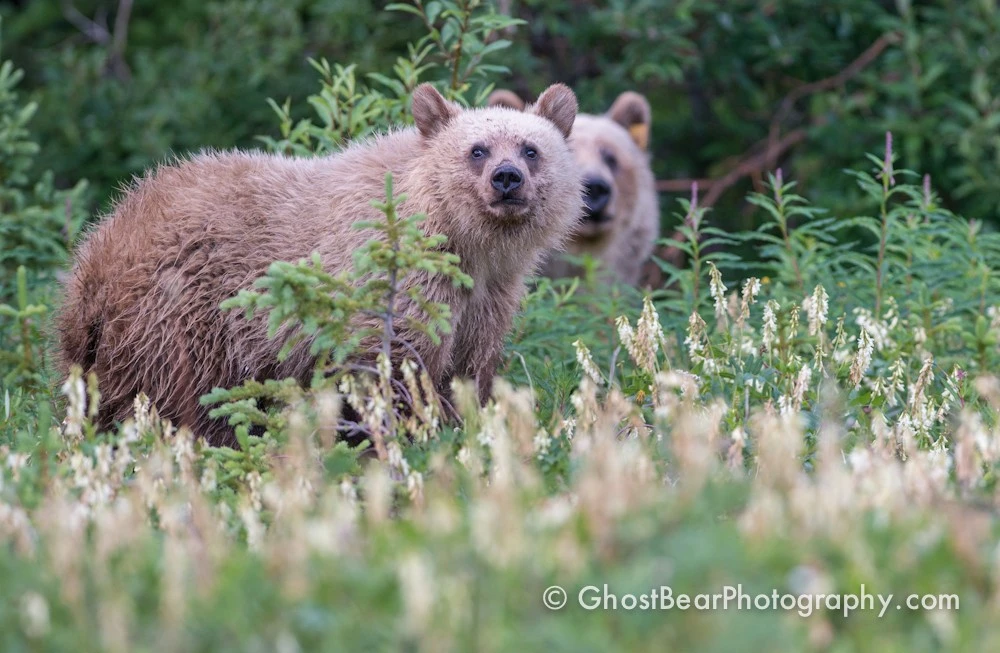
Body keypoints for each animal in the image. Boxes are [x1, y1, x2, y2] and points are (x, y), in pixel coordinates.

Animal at [55, 83, 581, 447]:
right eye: (477, 149)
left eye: (530, 149)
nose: (507, 178)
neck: (466, 245)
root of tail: (96, 254)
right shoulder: (391, 284)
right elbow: (393, 368)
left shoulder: (487, 298)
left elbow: (468, 369)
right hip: (180, 322)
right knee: (189, 402)